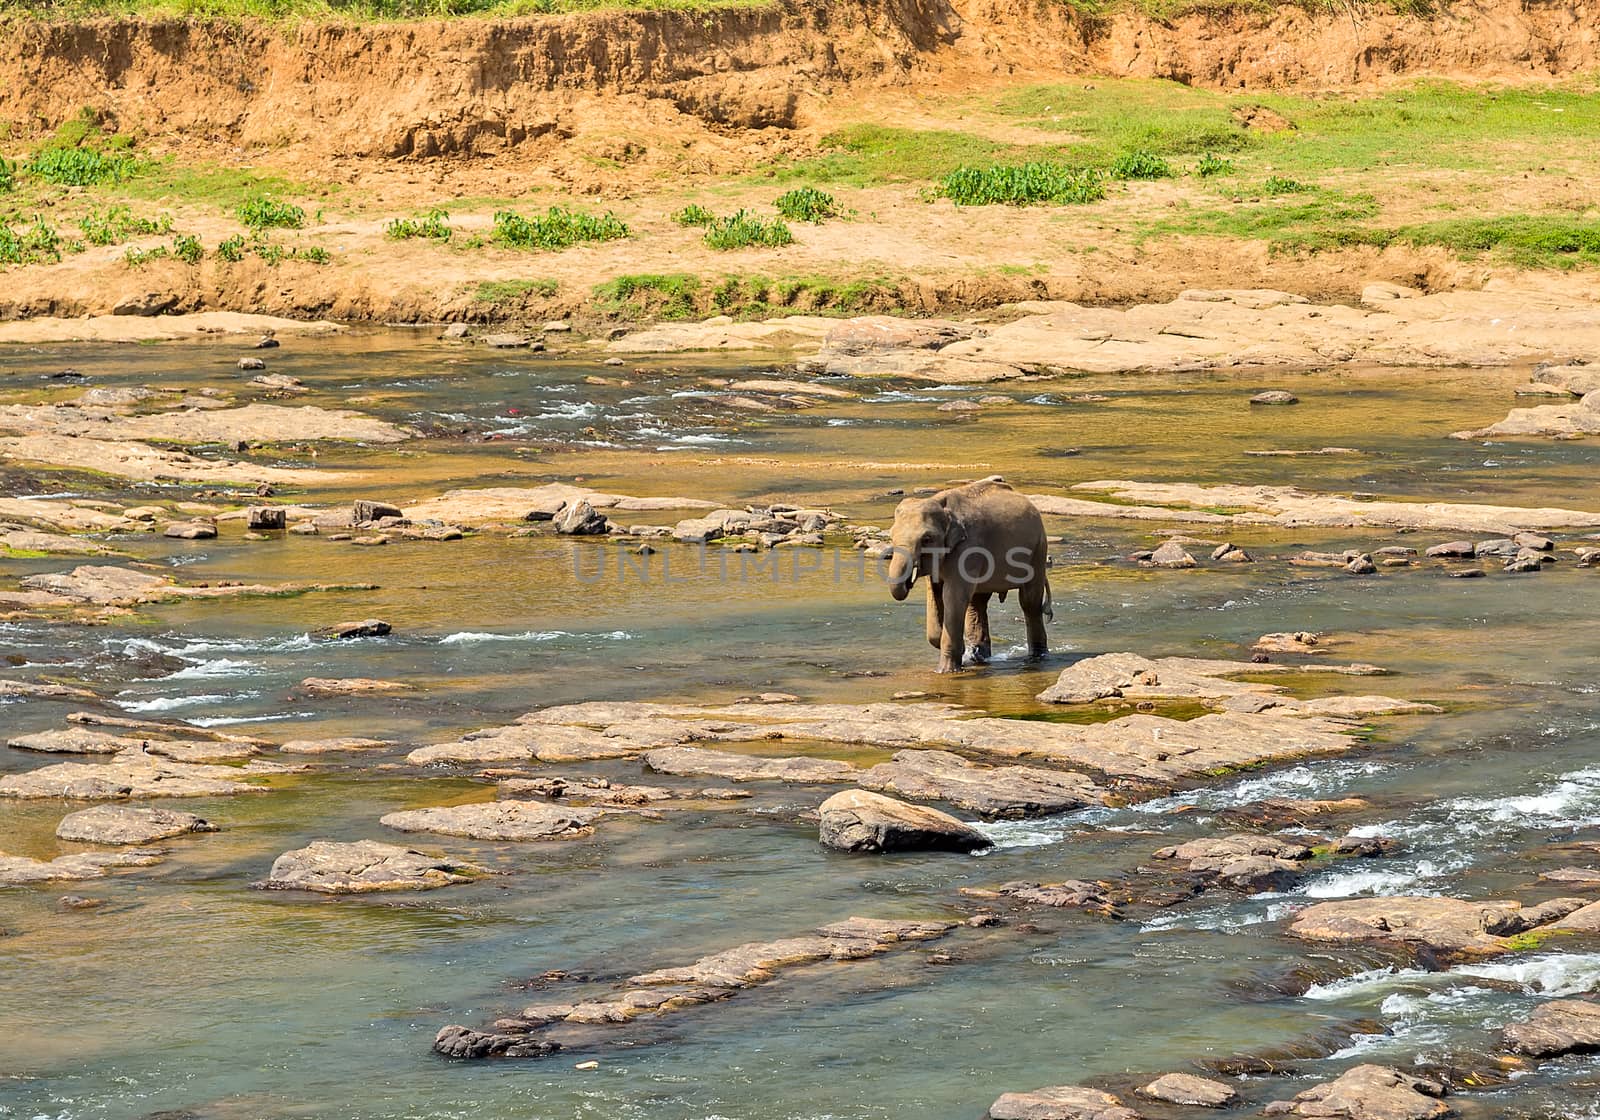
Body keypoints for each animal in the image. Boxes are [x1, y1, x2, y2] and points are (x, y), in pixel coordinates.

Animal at [889, 473, 1049, 675]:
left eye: (927, 539)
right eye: (891, 536)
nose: (908, 582)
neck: (941, 504)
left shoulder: (969, 547)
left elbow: (953, 596)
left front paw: (945, 671)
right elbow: (935, 592)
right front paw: (956, 650)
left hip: (1038, 550)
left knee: (1029, 602)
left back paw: (1037, 657)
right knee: (978, 602)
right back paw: (978, 656)